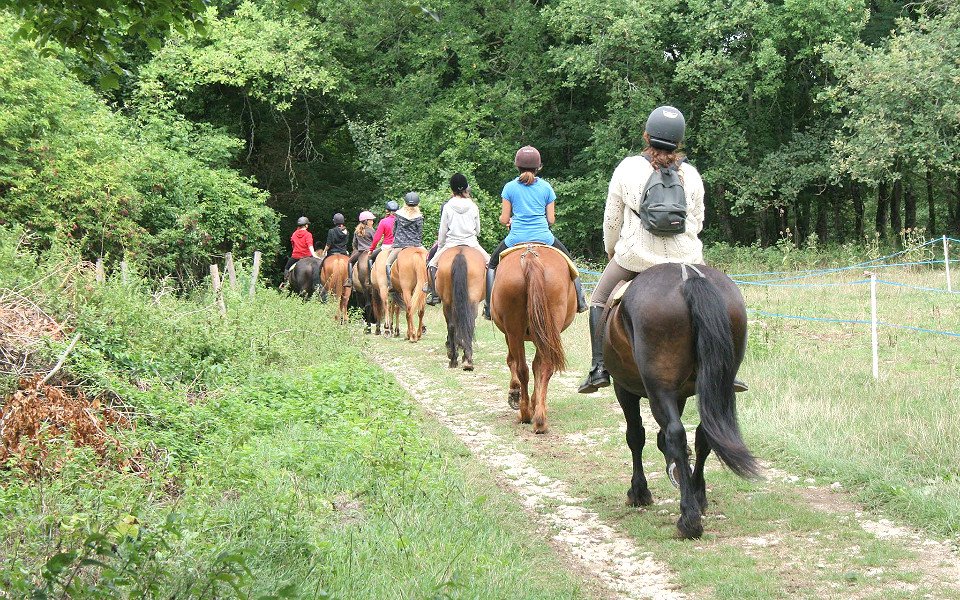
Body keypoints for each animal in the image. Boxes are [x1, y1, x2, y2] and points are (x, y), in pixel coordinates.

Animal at [492, 241, 572, 434]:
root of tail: (530, 255)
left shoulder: (510, 335)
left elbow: (513, 361)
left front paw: (515, 393)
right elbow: (537, 366)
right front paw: (535, 402)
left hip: (514, 332)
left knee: (522, 367)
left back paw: (525, 413)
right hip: (547, 327)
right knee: (545, 367)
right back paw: (540, 420)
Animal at [608, 262, 756, 540]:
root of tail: (688, 275)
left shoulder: (624, 388)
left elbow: (636, 436)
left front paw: (639, 492)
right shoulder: (681, 395)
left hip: (658, 388)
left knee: (675, 434)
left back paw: (688, 519)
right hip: (716, 385)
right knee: (704, 433)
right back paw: (697, 496)